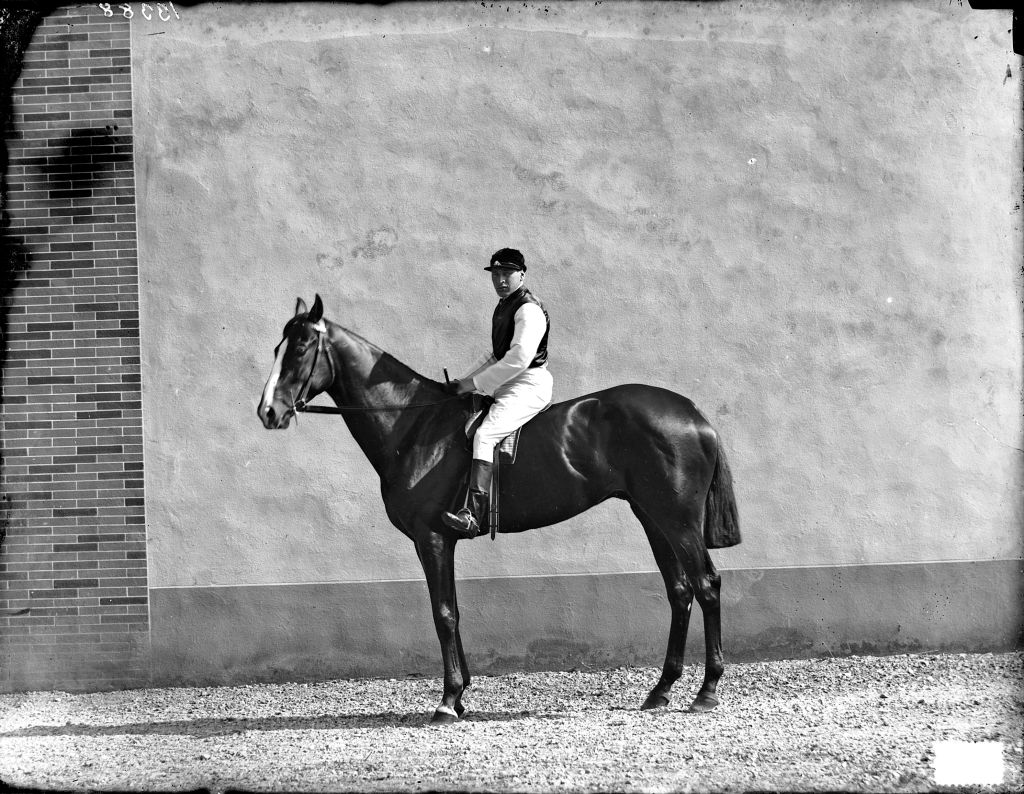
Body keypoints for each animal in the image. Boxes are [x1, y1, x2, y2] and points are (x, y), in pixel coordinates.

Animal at [257, 294, 741, 724]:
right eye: (278, 347)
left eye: (300, 348)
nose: (268, 412)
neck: (415, 424)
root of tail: (691, 411)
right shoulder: (440, 542)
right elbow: (453, 610)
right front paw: (460, 695)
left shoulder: (431, 539)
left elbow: (443, 613)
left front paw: (448, 700)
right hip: (653, 518)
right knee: (679, 591)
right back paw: (661, 690)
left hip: (677, 521)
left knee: (706, 584)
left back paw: (707, 690)